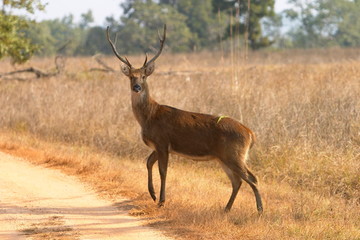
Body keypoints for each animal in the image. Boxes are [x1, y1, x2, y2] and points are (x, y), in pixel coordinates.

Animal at [105, 24, 262, 214]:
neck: (149, 116)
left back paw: (260, 210)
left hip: (234, 153)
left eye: (143, 76)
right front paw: (153, 195)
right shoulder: (160, 145)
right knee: (237, 181)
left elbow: (163, 171)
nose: (136, 87)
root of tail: (251, 134)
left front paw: (161, 201)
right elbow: (148, 162)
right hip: (225, 157)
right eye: (130, 76)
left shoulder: (162, 142)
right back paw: (226, 209)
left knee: (252, 178)